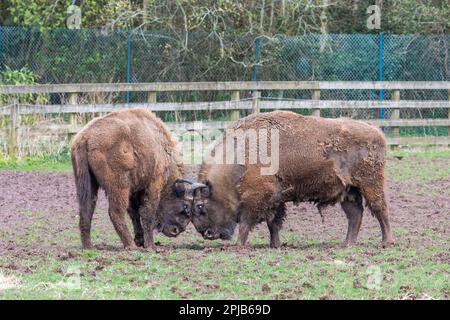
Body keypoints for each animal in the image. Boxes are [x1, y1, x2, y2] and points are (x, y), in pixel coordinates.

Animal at [71, 108, 203, 250]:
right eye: (186, 207)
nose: (176, 230)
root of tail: (86, 136)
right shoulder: (153, 184)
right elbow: (147, 213)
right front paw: (151, 247)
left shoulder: (134, 190)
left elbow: (134, 214)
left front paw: (141, 241)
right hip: (119, 187)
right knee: (115, 212)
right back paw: (130, 245)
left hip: (88, 184)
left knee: (86, 210)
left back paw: (88, 246)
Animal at [192, 111, 396, 249]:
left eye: (201, 205)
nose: (206, 233)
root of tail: (377, 132)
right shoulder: (276, 200)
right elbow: (273, 223)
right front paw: (275, 245)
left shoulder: (257, 197)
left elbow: (246, 223)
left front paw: (238, 245)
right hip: (348, 190)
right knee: (355, 214)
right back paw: (347, 243)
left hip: (370, 183)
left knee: (380, 208)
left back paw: (387, 242)